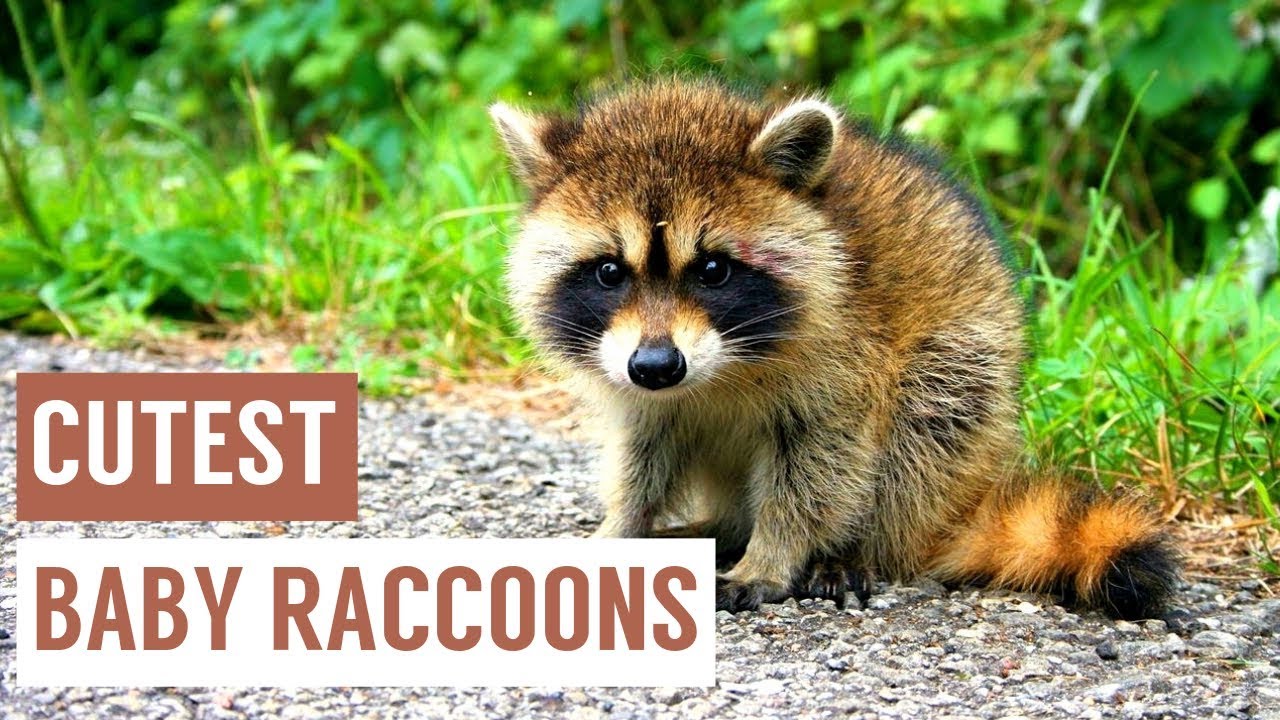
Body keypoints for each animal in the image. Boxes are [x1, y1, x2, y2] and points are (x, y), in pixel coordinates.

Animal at [490, 79, 1179, 619]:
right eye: (609, 272)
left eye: (712, 269)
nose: (657, 366)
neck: (716, 373)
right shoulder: (631, 375)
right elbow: (643, 452)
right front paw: (625, 522)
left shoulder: (849, 352)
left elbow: (819, 465)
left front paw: (773, 555)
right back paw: (719, 529)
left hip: (967, 363)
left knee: (928, 423)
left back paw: (855, 549)